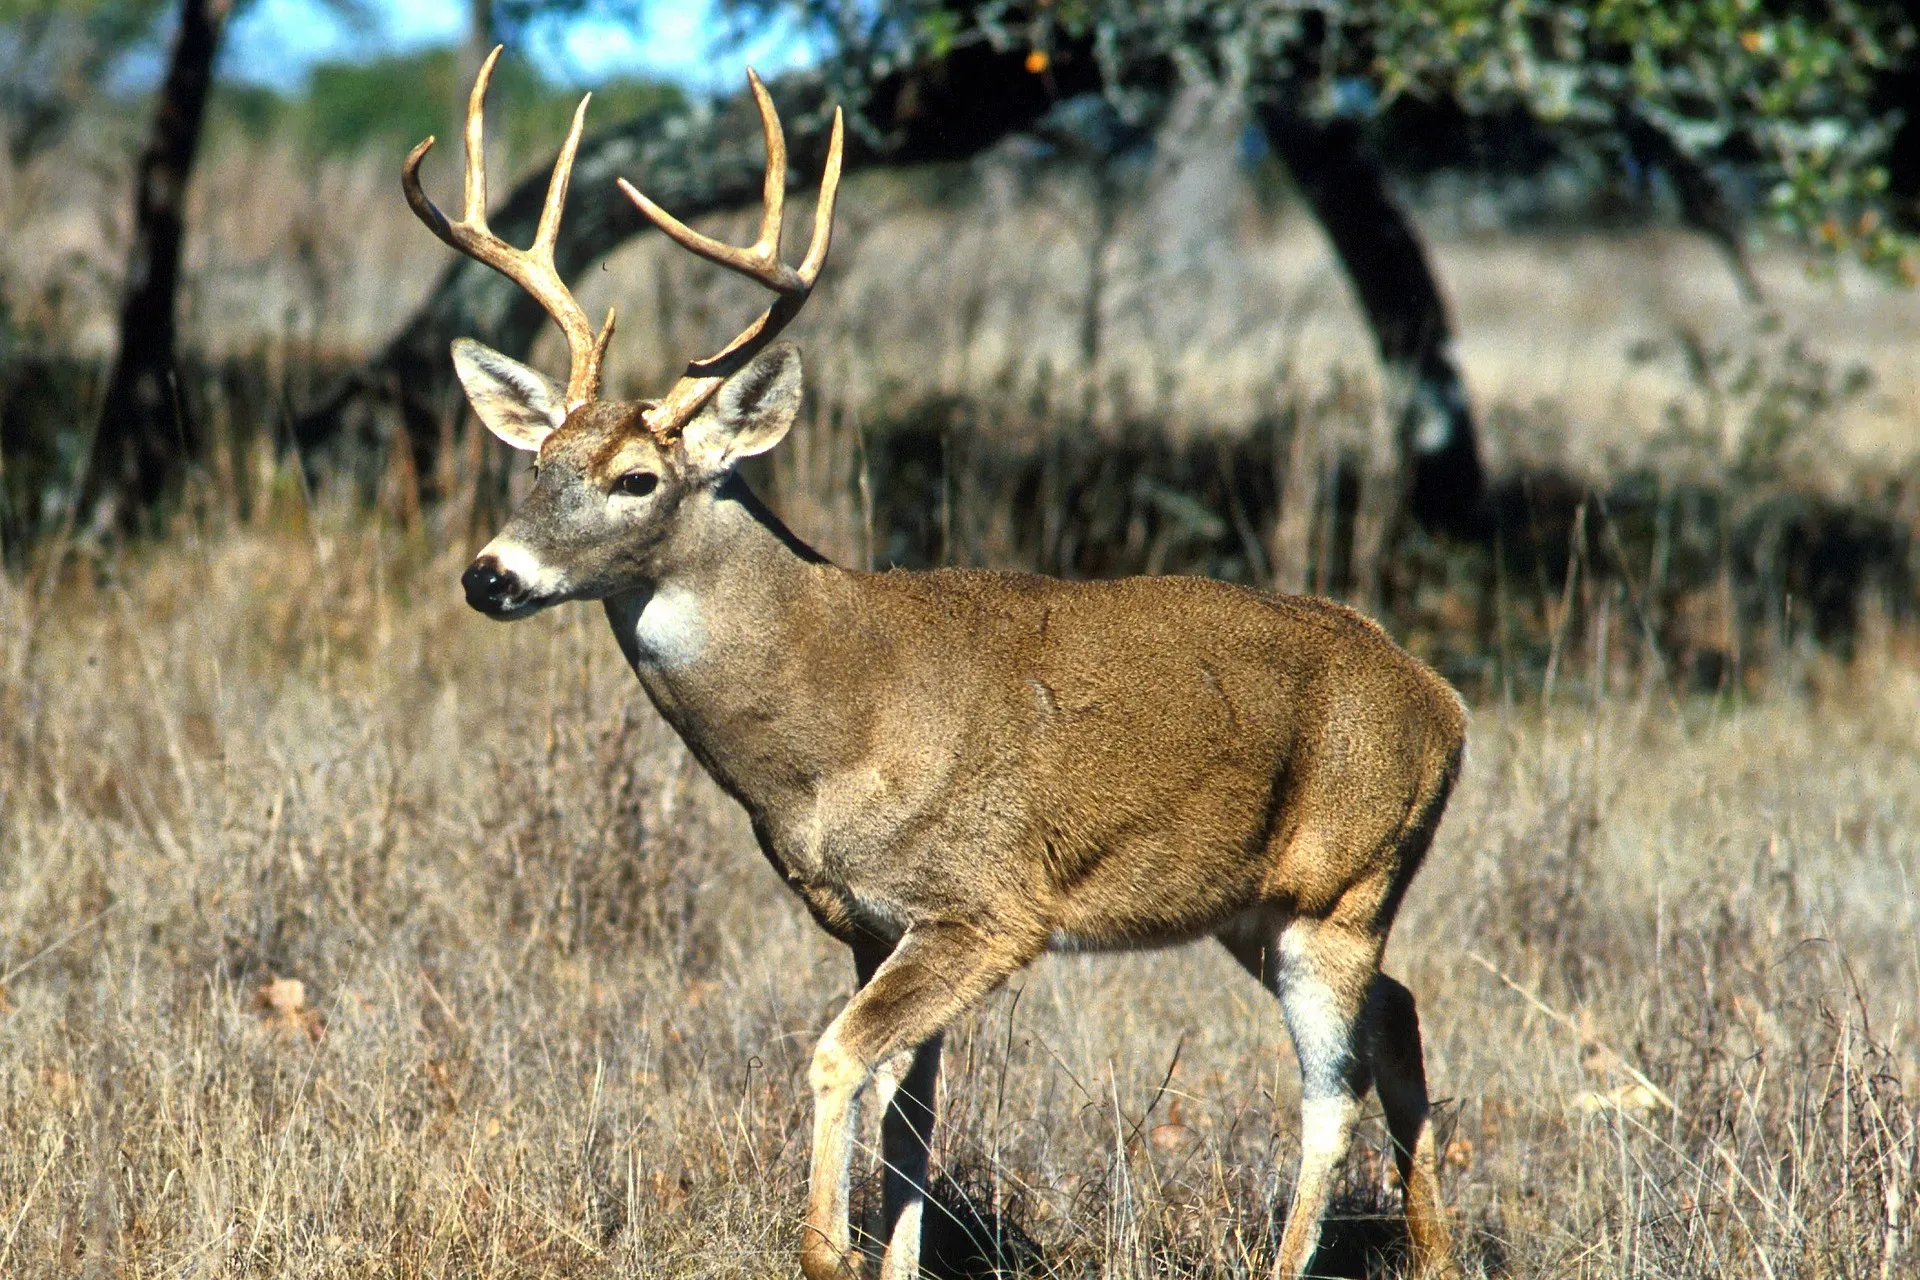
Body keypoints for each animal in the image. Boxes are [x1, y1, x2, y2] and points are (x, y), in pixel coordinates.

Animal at [405, 47, 1467, 1280]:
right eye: (538, 461)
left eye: (636, 479)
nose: (490, 575)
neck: (838, 723)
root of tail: (1445, 702)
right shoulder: (872, 921)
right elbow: (910, 1109)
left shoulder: (988, 906)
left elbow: (836, 1060)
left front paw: (827, 1251)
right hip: (1259, 907)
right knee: (1399, 1018)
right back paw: (1435, 1252)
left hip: (1345, 885)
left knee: (1331, 1090)